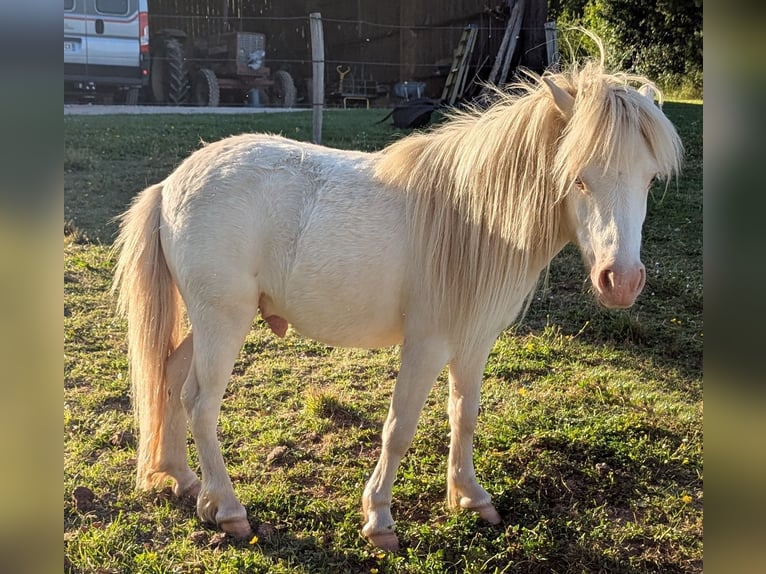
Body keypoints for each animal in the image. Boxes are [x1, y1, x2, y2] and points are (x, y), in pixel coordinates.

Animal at [112, 60, 683, 551]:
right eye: (578, 176)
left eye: (649, 179)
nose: (621, 282)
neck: (475, 220)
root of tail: (170, 185)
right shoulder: (426, 344)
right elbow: (399, 427)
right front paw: (379, 518)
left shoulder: (474, 343)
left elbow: (464, 415)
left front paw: (471, 497)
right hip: (222, 321)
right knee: (201, 401)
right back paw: (227, 508)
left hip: (210, 321)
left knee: (169, 377)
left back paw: (182, 478)